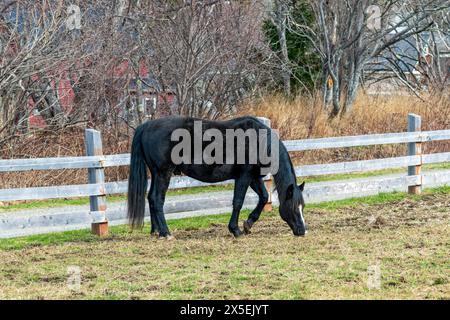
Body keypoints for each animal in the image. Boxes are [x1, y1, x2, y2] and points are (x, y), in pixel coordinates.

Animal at [128, 115, 308, 238]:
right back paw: (166, 233)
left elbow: (263, 197)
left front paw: (248, 224)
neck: (258, 140)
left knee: (151, 198)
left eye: (303, 207)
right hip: (163, 173)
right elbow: (238, 202)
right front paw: (235, 230)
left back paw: (156, 231)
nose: (302, 230)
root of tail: (147, 126)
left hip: (156, 173)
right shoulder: (243, 176)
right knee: (157, 199)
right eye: (294, 207)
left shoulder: (254, 177)